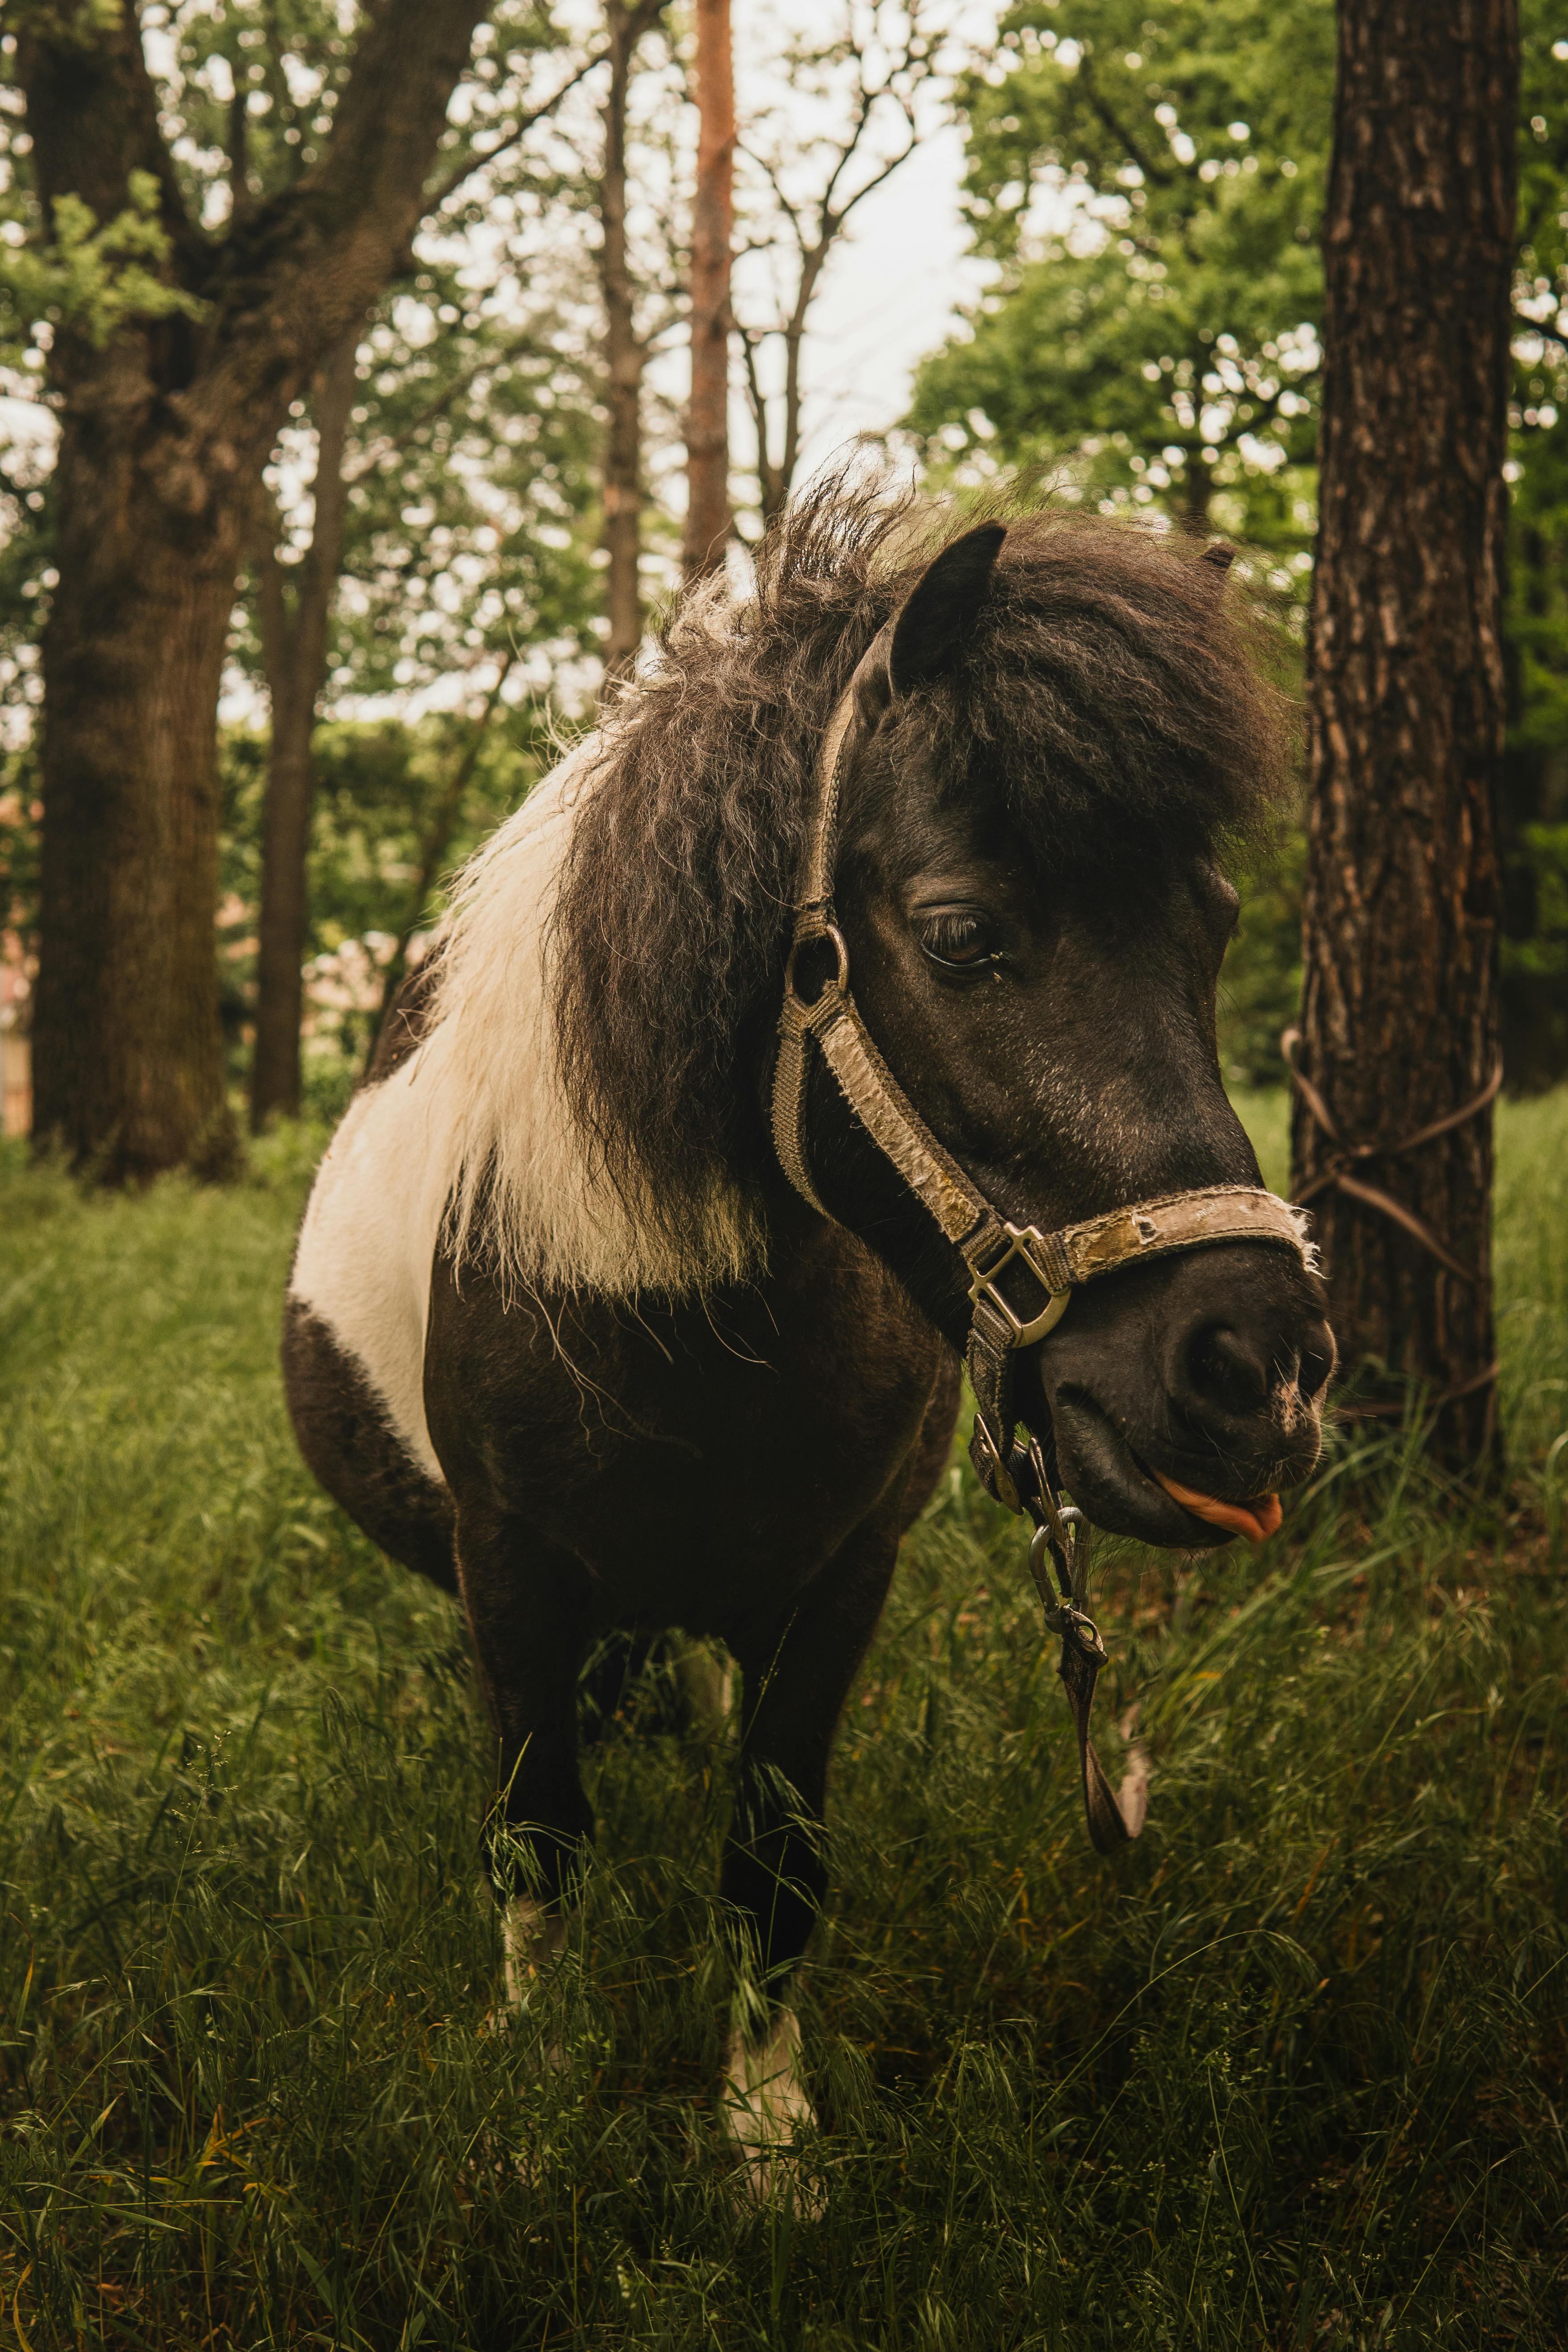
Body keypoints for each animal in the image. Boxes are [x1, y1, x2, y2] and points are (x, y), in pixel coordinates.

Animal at [282, 486, 1335, 2190]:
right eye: (962, 932)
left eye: (1214, 922)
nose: (1257, 1371)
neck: (682, 1330)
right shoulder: (510, 1562)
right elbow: (536, 1827)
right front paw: (535, 2088)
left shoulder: (839, 1577)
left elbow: (772, 1849)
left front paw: (765, 2134)